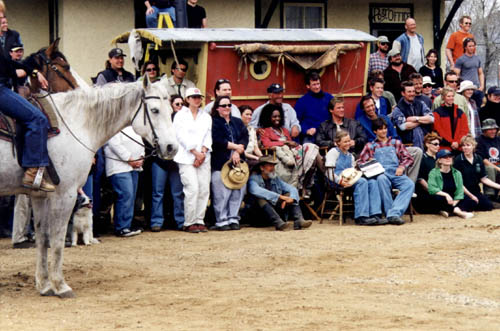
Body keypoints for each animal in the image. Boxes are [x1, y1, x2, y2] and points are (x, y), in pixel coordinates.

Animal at [0, 78, 177, 298]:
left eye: (170, 110)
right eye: (154, 110)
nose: (172, 148)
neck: (74, 124)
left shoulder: (40, 196)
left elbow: (43, 238)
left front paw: (44, 285)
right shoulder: (64, 195)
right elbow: (57, 239)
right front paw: (60, 285)